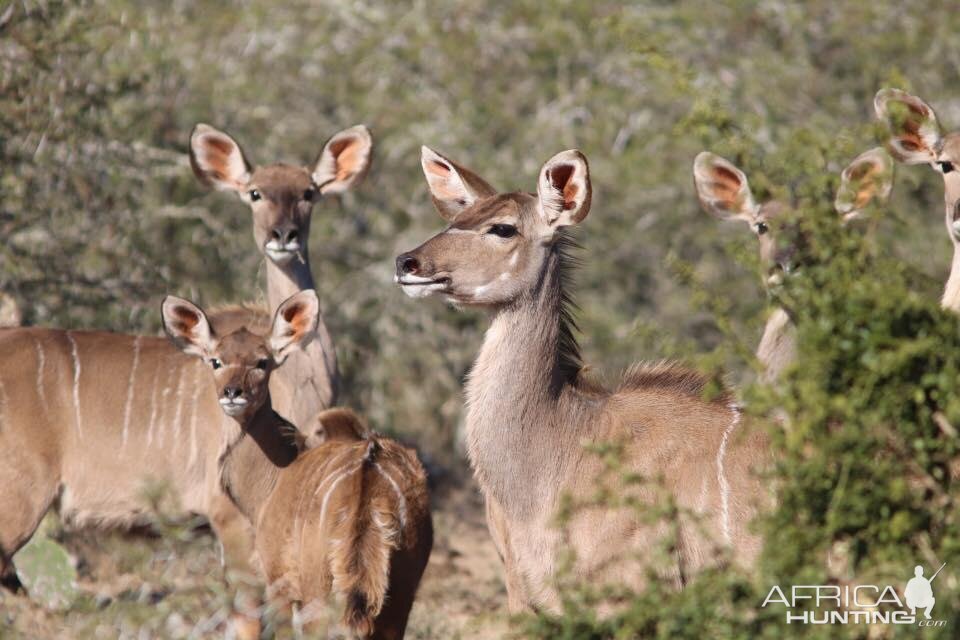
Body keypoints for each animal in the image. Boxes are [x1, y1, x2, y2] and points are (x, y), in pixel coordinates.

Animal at [164, 292, 432, 640]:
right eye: (216, 361)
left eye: (262, 362)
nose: (232, 393)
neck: (276, 475)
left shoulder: (280, 583)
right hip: (398, 596)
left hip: (319, 591)